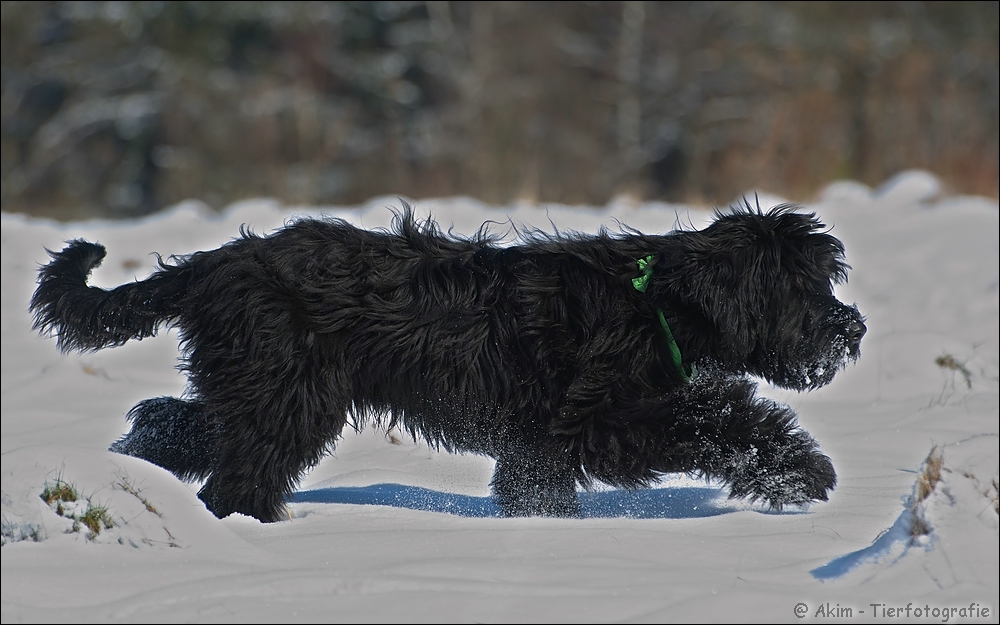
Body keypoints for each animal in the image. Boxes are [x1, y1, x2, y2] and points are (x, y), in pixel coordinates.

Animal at [31, 204, 860, 520]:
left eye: (826, 279)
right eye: (800, 286)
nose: (850, 327)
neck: (656, 299)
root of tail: (214, 263)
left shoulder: (540, 438)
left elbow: (533, 489)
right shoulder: (607, 417)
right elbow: (719, 417)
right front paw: (802, 470)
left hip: (260, 386)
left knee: (174, 423)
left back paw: (135, 470)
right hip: (288, 395)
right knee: (237, 474)